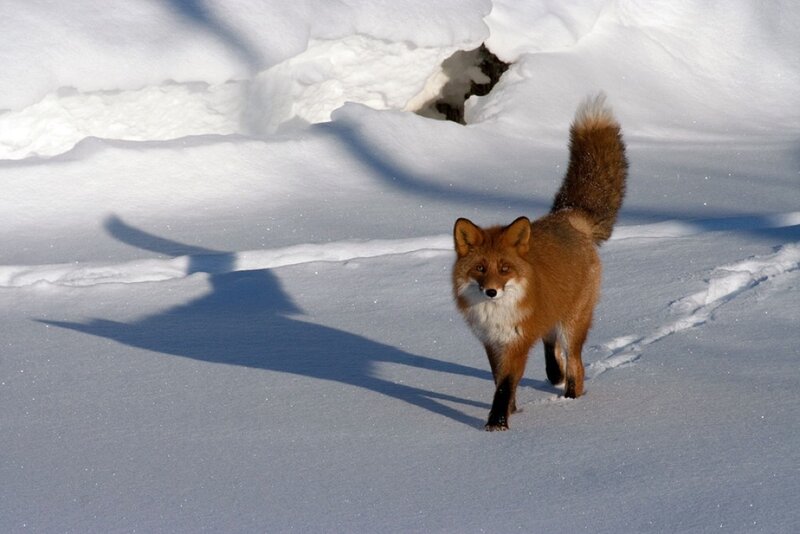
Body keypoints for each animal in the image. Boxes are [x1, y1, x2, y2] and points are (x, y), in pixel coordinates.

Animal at [452, 93, 628, 431]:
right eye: (480, 269)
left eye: (504, 269)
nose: (491, 292)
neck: (497, 315)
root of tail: (567, 215)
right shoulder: (493, 343)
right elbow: (500, 382)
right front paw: (511, 411)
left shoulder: (516, 343)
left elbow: (505, 385)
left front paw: (497, 424)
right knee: (552, 345)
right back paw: (554, 376)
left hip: (574, 323)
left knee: (576, 367)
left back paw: (571, 398)